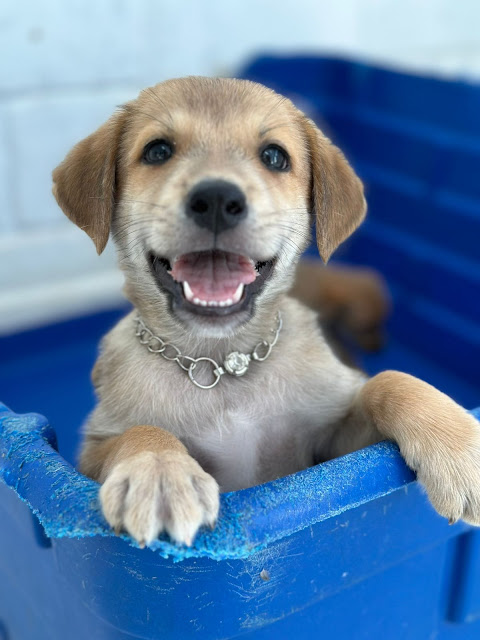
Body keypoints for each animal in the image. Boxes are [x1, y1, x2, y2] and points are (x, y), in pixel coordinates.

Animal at [52, 75, 480, 544]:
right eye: (157, 151)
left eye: (274, 156)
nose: (217, 199)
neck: (220, 365)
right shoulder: (89, 454)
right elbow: (139, 431)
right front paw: (159, 471)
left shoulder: (332, 449)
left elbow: (388, 382)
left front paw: (460, 448)